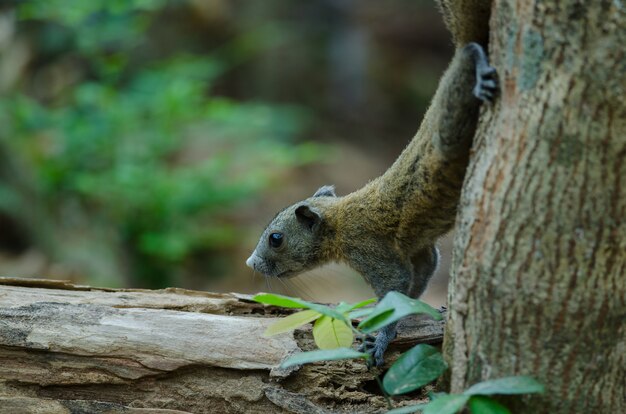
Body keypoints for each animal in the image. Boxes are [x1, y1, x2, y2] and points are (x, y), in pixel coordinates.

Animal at [246, 42, 494, 366]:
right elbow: (417, 279)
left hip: (448, 133)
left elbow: (394, 287)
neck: (339, 223)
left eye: (276, 239)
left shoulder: (369, 249)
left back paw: (476, 61)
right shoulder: (418, 251)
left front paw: (381, 340)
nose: (251, 263)